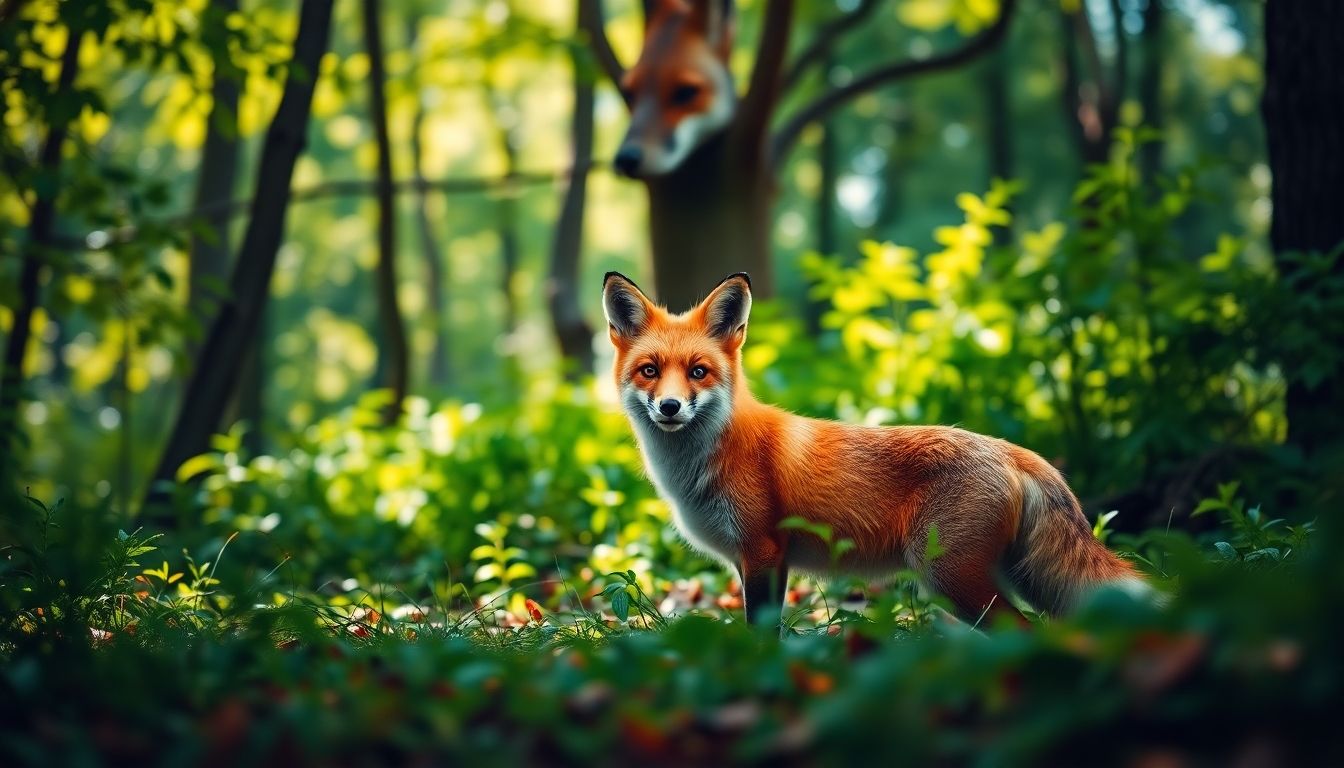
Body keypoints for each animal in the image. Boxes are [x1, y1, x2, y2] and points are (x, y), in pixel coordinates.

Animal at [602, 271, 1148, 625]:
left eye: (698, 371)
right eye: (650, 370)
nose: (670, 406)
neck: (705, 462)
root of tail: (1017, 452)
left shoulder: (763, 552)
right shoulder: (753, 561)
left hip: (951, 578)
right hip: (1002, 577)